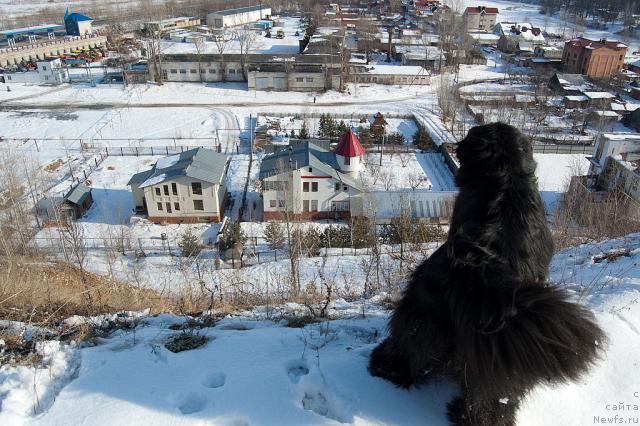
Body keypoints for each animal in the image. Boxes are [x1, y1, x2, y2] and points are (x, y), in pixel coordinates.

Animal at [370, 123, 604, 426]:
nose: (455, 144)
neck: (506, 175)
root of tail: (479, 269)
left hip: (428, 314)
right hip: (496, 346)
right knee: (492, 392)